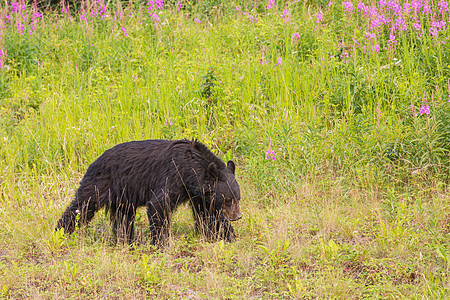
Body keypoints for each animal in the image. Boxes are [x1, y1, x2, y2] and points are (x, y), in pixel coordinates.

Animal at [56, 139, 243, 245]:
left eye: (237, 198)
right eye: (228, 200)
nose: (238, 216)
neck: (191, 169)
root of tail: (94, 161)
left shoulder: (198, 194)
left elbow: (209, 215)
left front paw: (227, 235)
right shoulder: (173, 175)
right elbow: (159, 204)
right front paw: (160, 243)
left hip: (123, 195)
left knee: (123, 217)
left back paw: (124, 240)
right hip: (101, 183)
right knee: (82, 206)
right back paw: (61, 231)